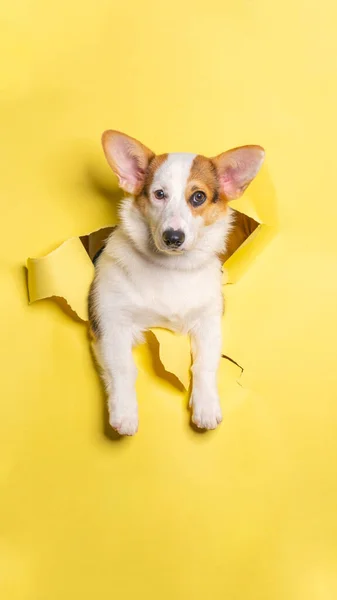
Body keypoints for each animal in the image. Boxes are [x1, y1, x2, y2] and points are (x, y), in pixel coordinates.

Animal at [88, 129, 264, 434]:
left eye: (198, 197)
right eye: (159, 194)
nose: (172, 237)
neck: (171, 268)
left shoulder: (208, 322)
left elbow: (205, 365)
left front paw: (206, 406)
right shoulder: (111, 322)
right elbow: (122, 367)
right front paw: (125, 412)